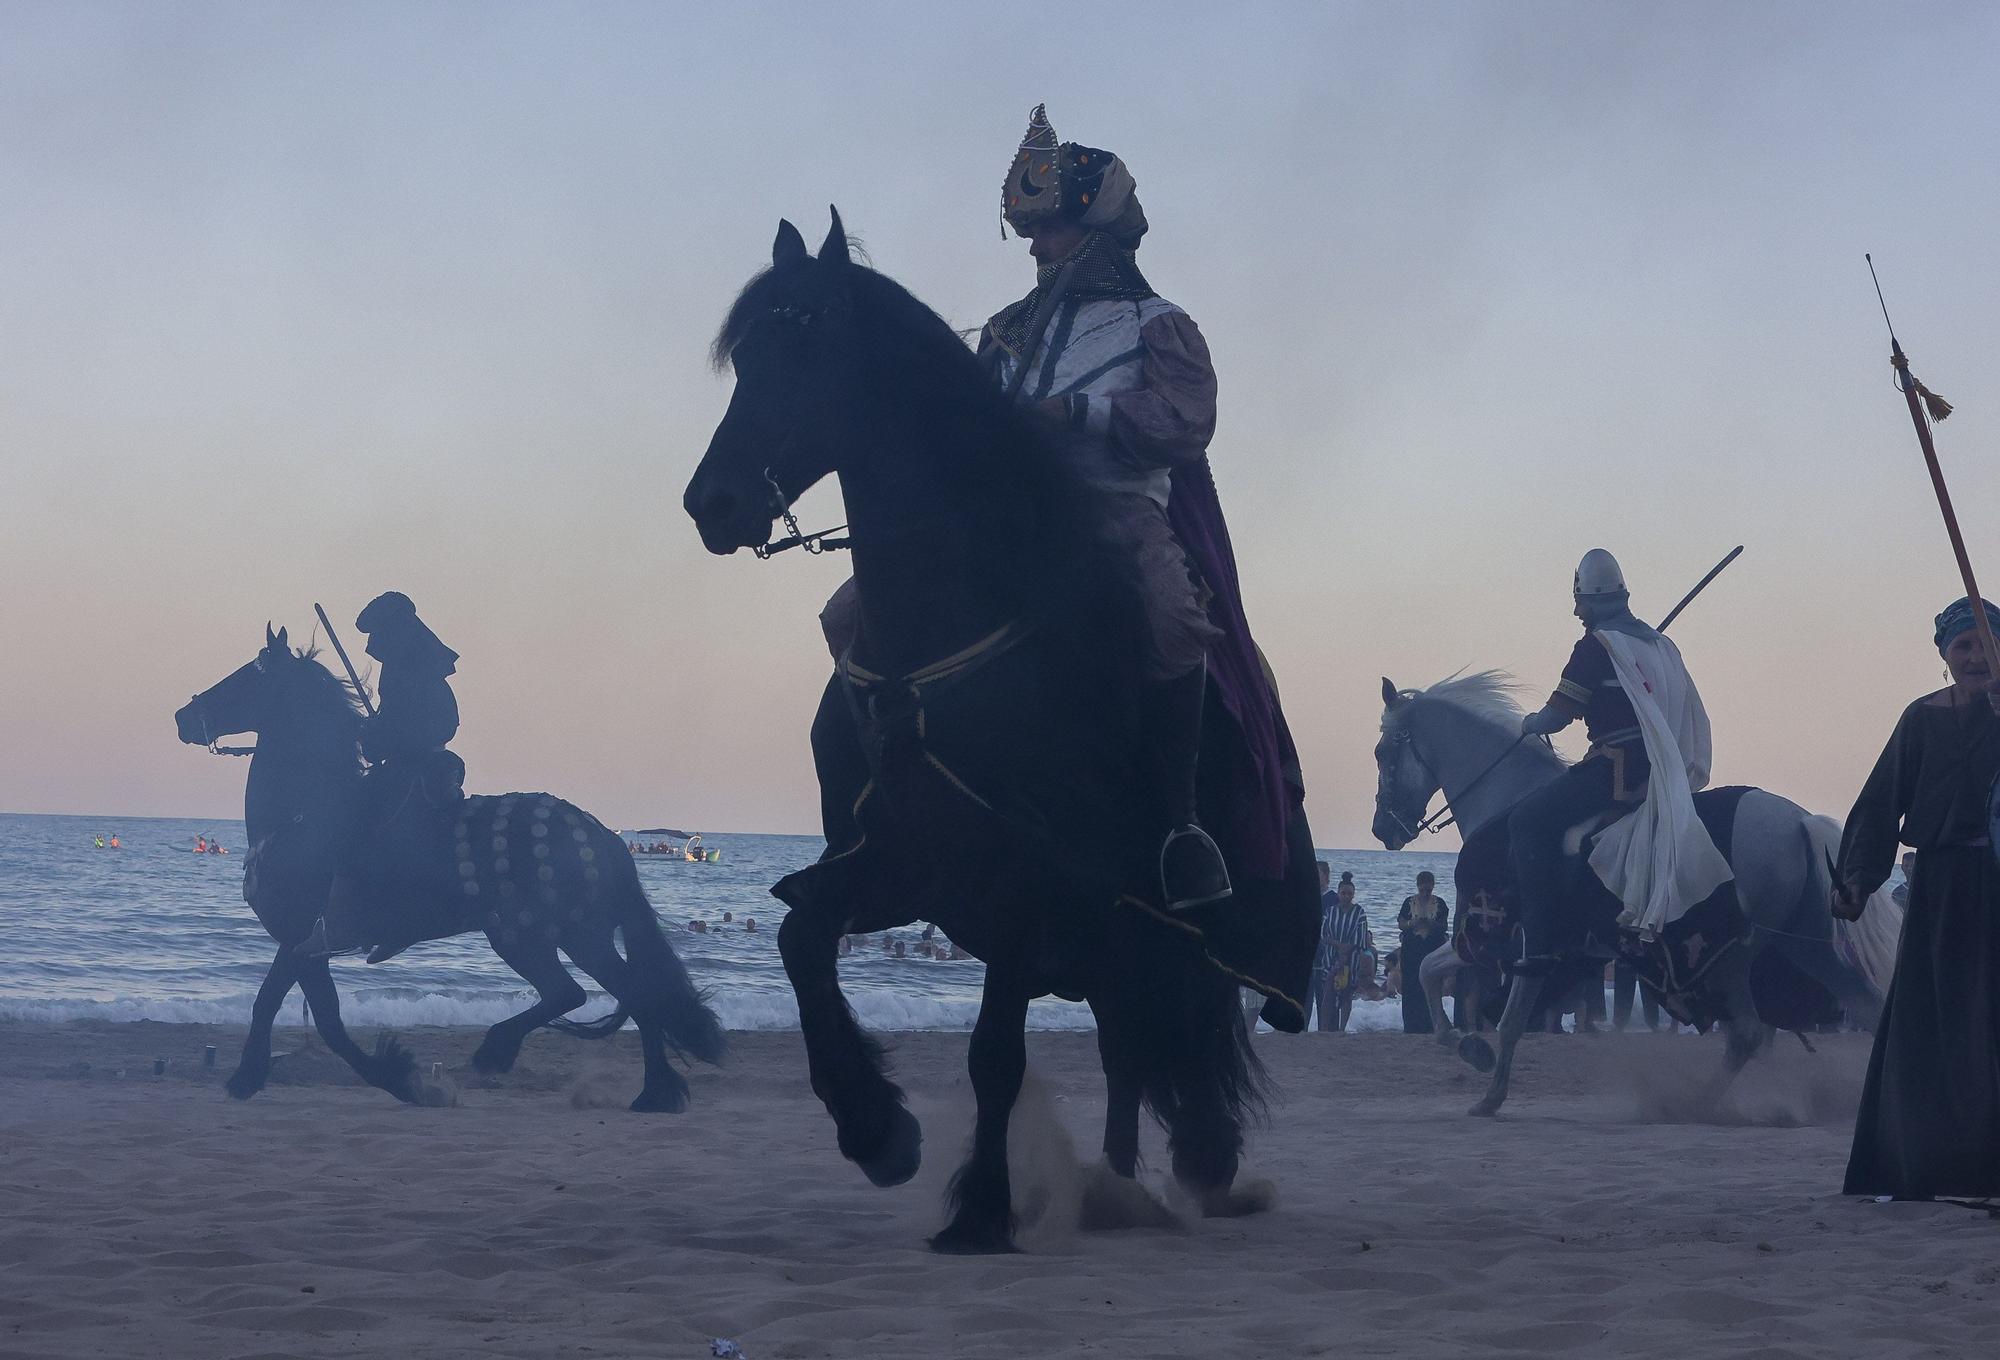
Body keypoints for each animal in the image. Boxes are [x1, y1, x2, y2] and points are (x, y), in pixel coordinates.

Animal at [172, 628, 720, 1112]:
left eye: (250, 675)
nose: (183, 715)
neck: (306, 812)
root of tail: (606, 839)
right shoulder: (304, 942)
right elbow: (301, 1009)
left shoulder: (302, 934)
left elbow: (307, 1014)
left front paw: (399, 1079)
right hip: (576, 935)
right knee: (626, 994)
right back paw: (652, 1093)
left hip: (528, 935)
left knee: (578, 992)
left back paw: (504, 1051)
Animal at [680, 212, 1320, 1256]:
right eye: (747, 358)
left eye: (810, 343)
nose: (714, 504)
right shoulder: (904, 864)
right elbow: (800, 935)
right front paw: (877, 1130)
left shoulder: (1028, 882)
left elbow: (994, 1055)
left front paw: (978, 1208)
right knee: (1129, 1050)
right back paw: (1115, 1189)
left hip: (1152, 933)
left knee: (1155, 1039)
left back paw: (1171, 1175)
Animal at [1368, 668, 1896, 1112]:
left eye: (1381, 753)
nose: (1382, 830)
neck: (1508, 797)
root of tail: (1798, 821)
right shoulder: (1507, 944)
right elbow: (1433, 977)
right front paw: (1469, 1050)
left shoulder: (1507, 940)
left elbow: (1498, 1011)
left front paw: (1488, 1088)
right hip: (1800, 945)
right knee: (1859, 1008)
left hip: (1730, 953)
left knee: (1748, 1032)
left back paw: (1694, 1105)